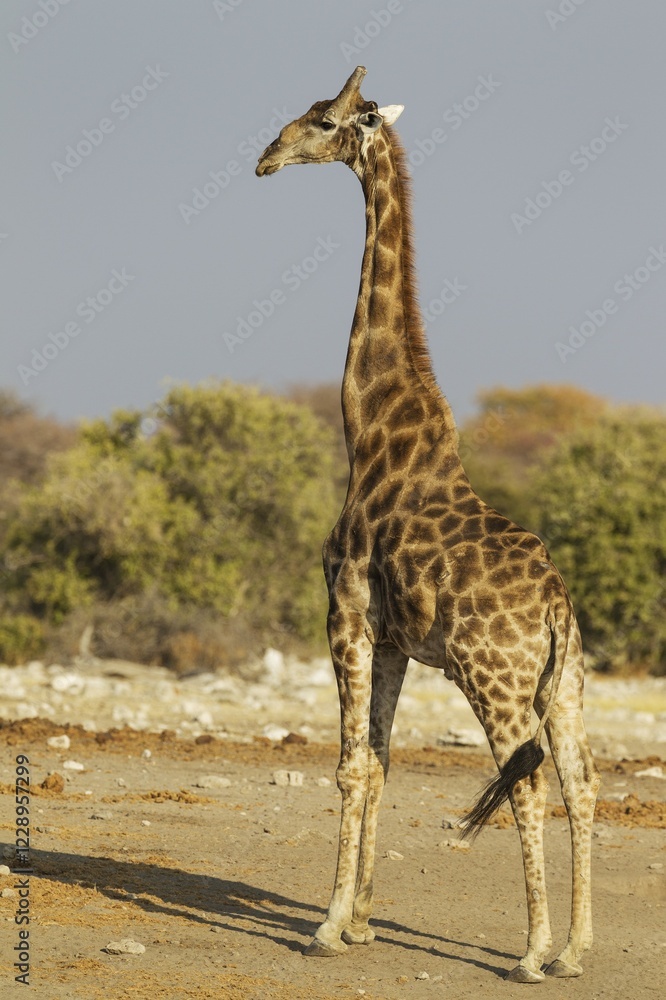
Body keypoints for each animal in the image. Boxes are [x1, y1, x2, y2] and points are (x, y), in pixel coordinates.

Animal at [256, 66, 600, 983]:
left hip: (494, 677)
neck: (372, 431)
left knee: (526, 782)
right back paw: (575, 950)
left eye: (324, 120)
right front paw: (362, 922)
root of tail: (556, 607)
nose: (265, 156)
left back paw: (530, 953)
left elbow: (347, 768)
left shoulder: (343, 614)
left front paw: (324, 928)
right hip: (564, 683)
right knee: (583, 782)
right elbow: (379, 764)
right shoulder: (396, 641)